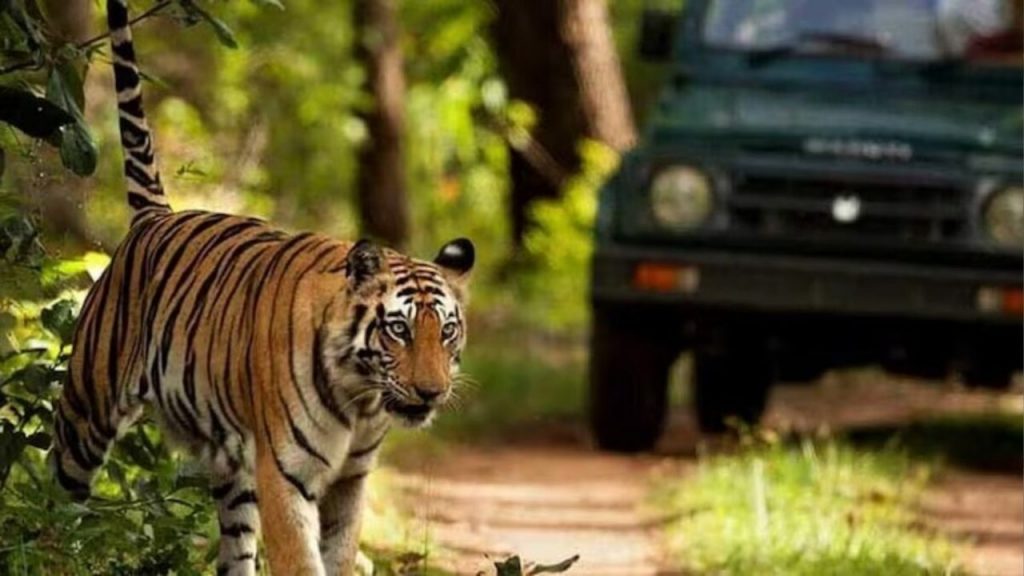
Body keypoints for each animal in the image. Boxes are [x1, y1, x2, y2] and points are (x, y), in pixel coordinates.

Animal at [48, 1, 475, 575]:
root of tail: (156, 217)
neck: (361, 399)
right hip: (87, 411)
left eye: (446, 332)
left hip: (234, 472)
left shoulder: (351, 480)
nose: (432, 391)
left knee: (235, 549)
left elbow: (339, 554)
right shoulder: (285, 474)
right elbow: (300, 559)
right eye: (399, 330)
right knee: (55, 496)